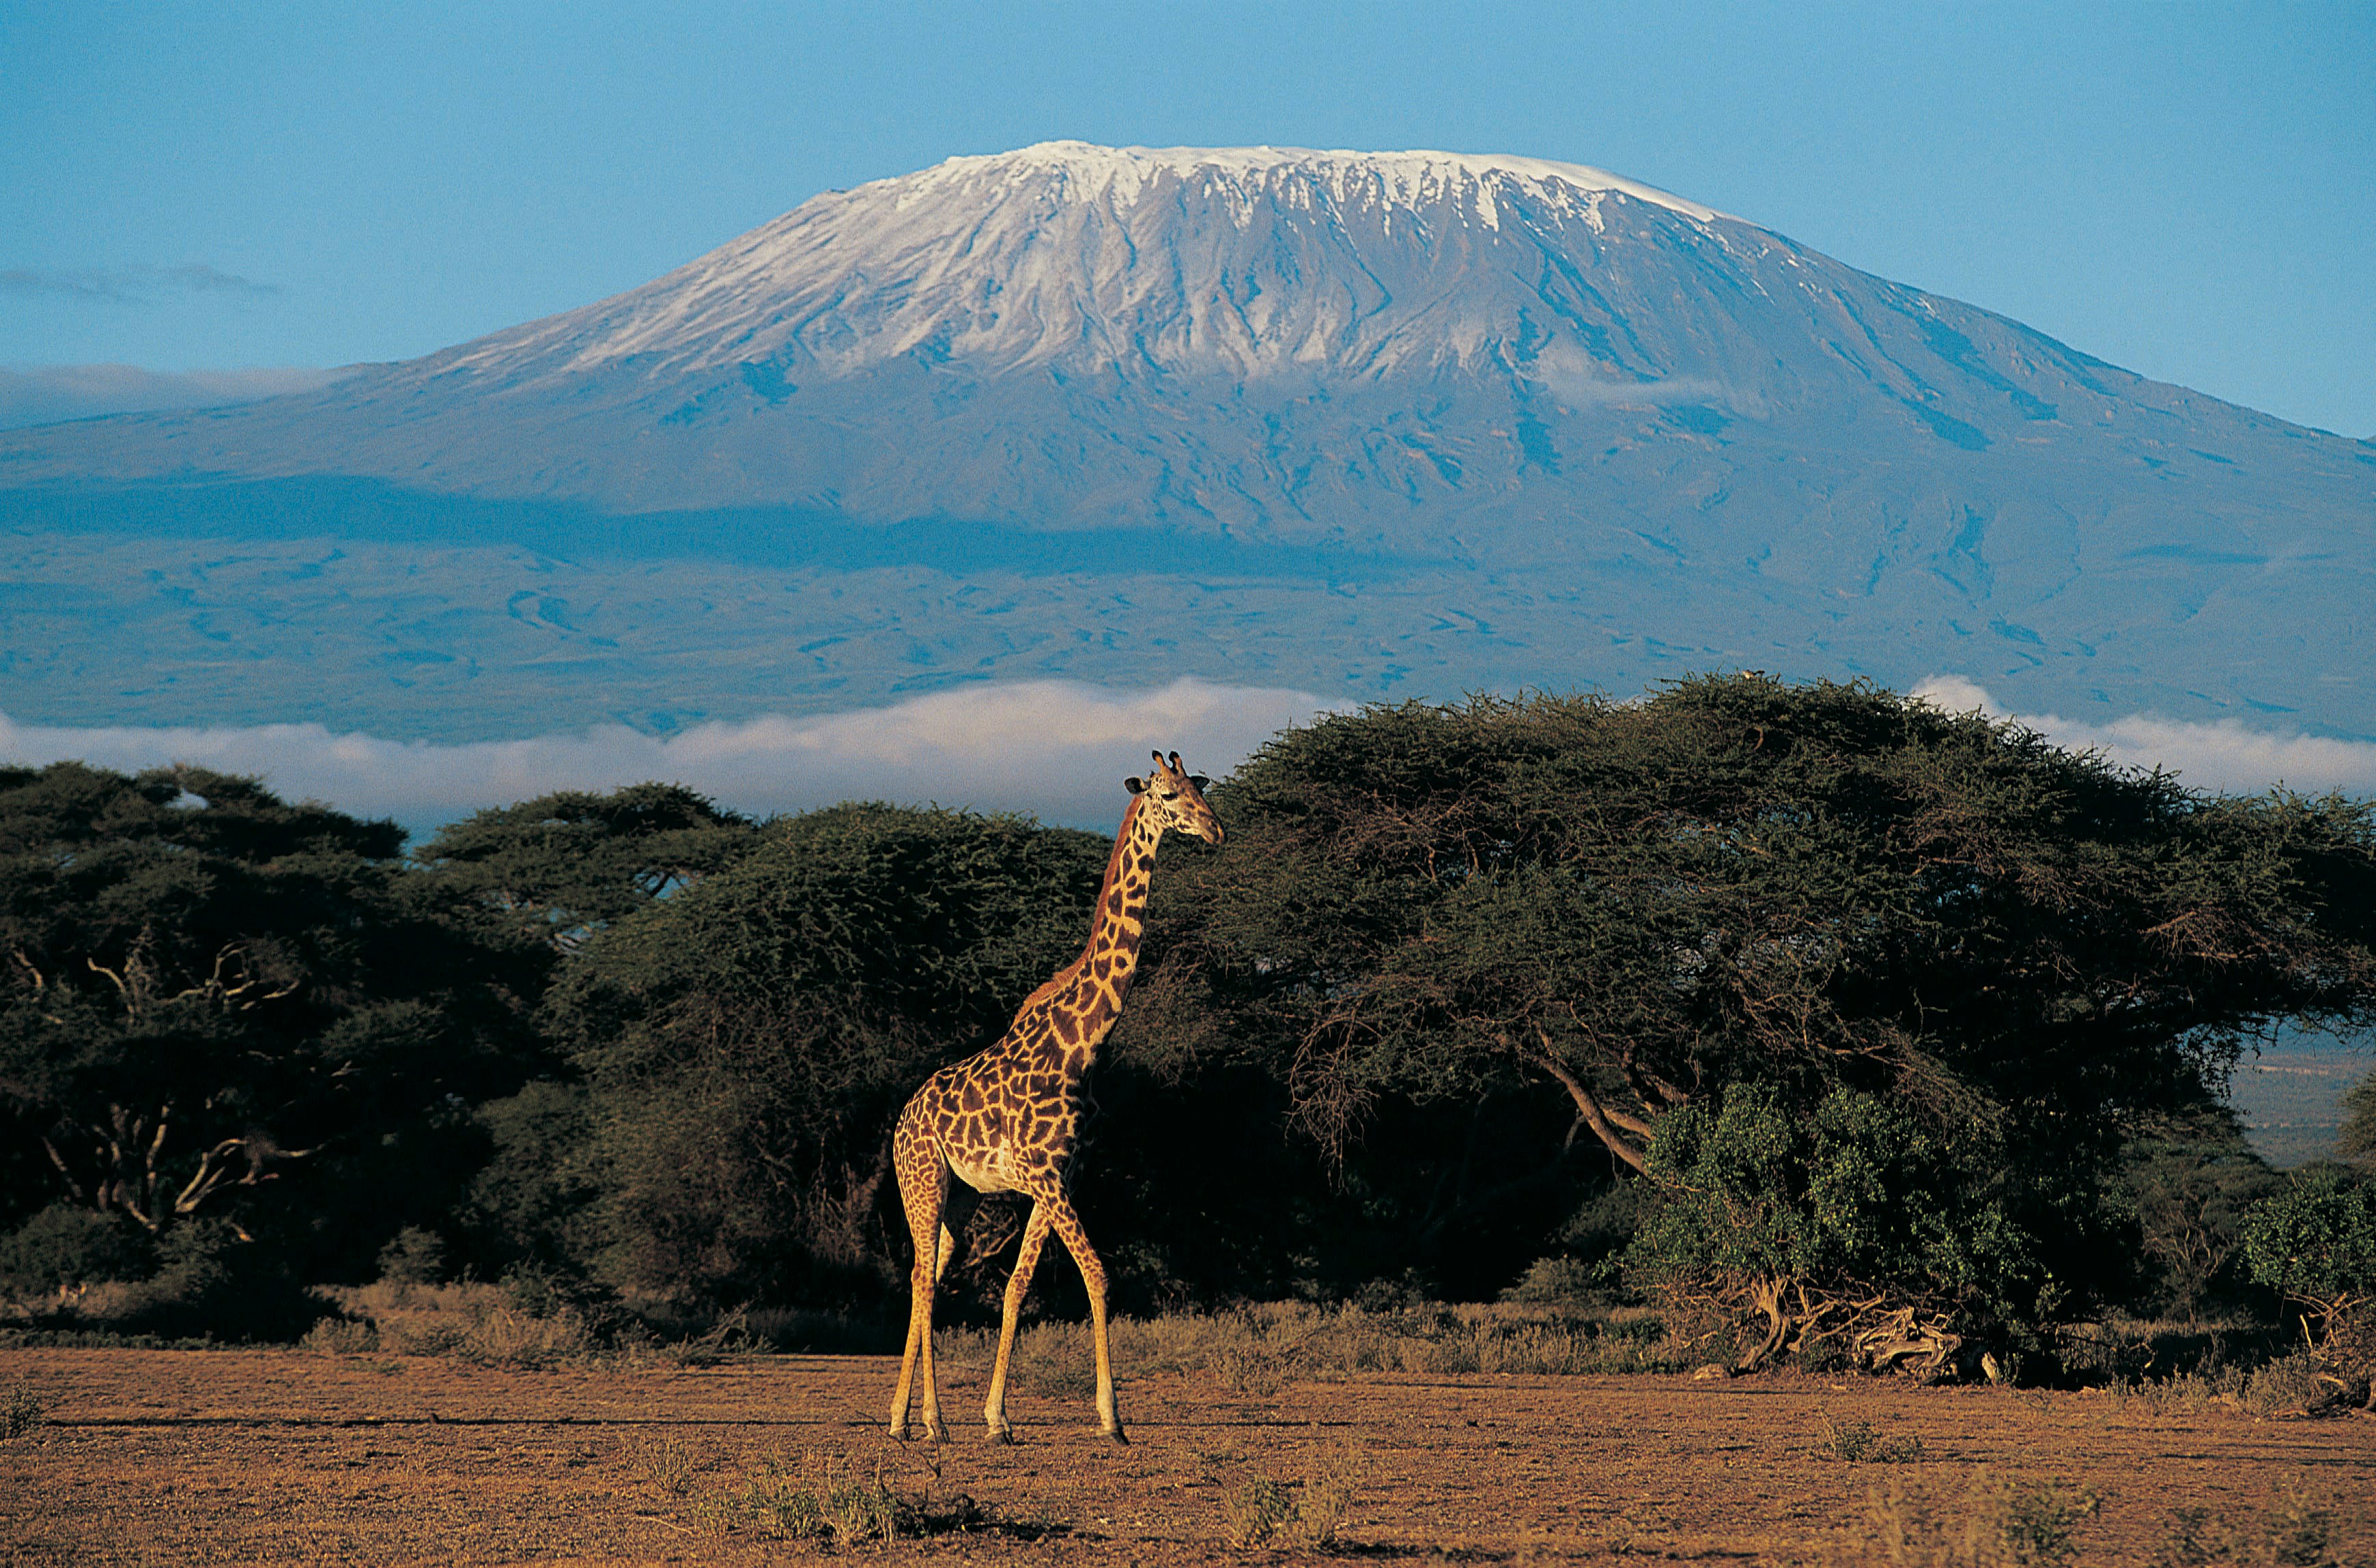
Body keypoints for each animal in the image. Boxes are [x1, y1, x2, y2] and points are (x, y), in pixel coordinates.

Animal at [888, 750, 1223, 1445]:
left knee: (927, 1274)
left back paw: (901, 1418)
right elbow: (1097, 1272)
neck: (1083, 1042)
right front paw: (1112, 1419)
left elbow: (1018, 1284)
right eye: (1168, 794)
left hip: (960, 1197)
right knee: (922, 1278)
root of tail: (901, 1122)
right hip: (922, 1180)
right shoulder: (1045, 1176)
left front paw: (997, 1417)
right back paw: (932, 1420)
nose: (1215, 830)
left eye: (1202, 788)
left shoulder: (1060, 1176)